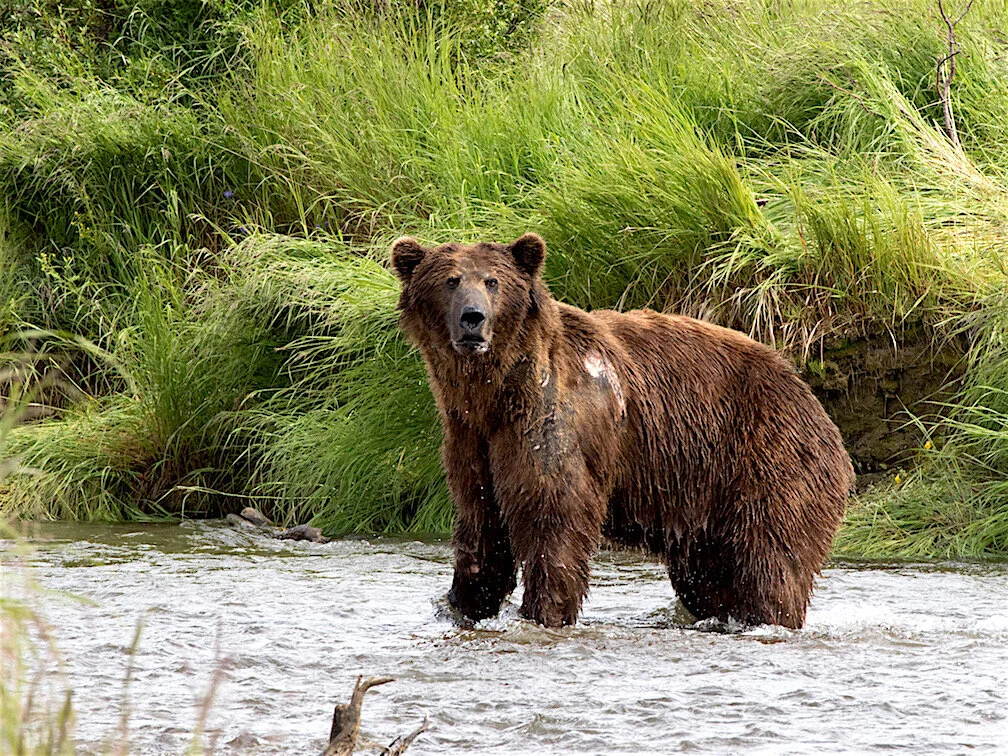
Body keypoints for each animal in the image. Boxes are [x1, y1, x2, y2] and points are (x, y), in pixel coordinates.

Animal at [391, 232, 854, 629]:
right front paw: (463, 605)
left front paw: (542, 612)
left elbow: (554, 519)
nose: (473, 318)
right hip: (701, 501)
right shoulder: (472, 440)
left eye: (493, 281)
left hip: (765, 456)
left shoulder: (552, 421)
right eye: (451, 280)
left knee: (770, 562)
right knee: (707, 579)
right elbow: (481, 526)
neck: (496, 391)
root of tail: (813, 401)